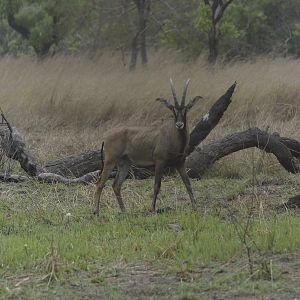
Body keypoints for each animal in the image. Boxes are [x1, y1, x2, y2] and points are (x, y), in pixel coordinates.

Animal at [93, 79, 202, 216]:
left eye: (186, 109)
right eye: (172, 109)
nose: (179, 124)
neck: (172, 135)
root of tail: (106, 136)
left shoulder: (180, 162)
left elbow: (188, 183)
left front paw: (195, 208)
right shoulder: (159, 162)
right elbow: (156, 185)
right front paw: (152, 209)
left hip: (124, 163)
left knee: (116, 185)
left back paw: (124, 211)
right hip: (110, 161)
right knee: (100, 183)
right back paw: (96, 212)